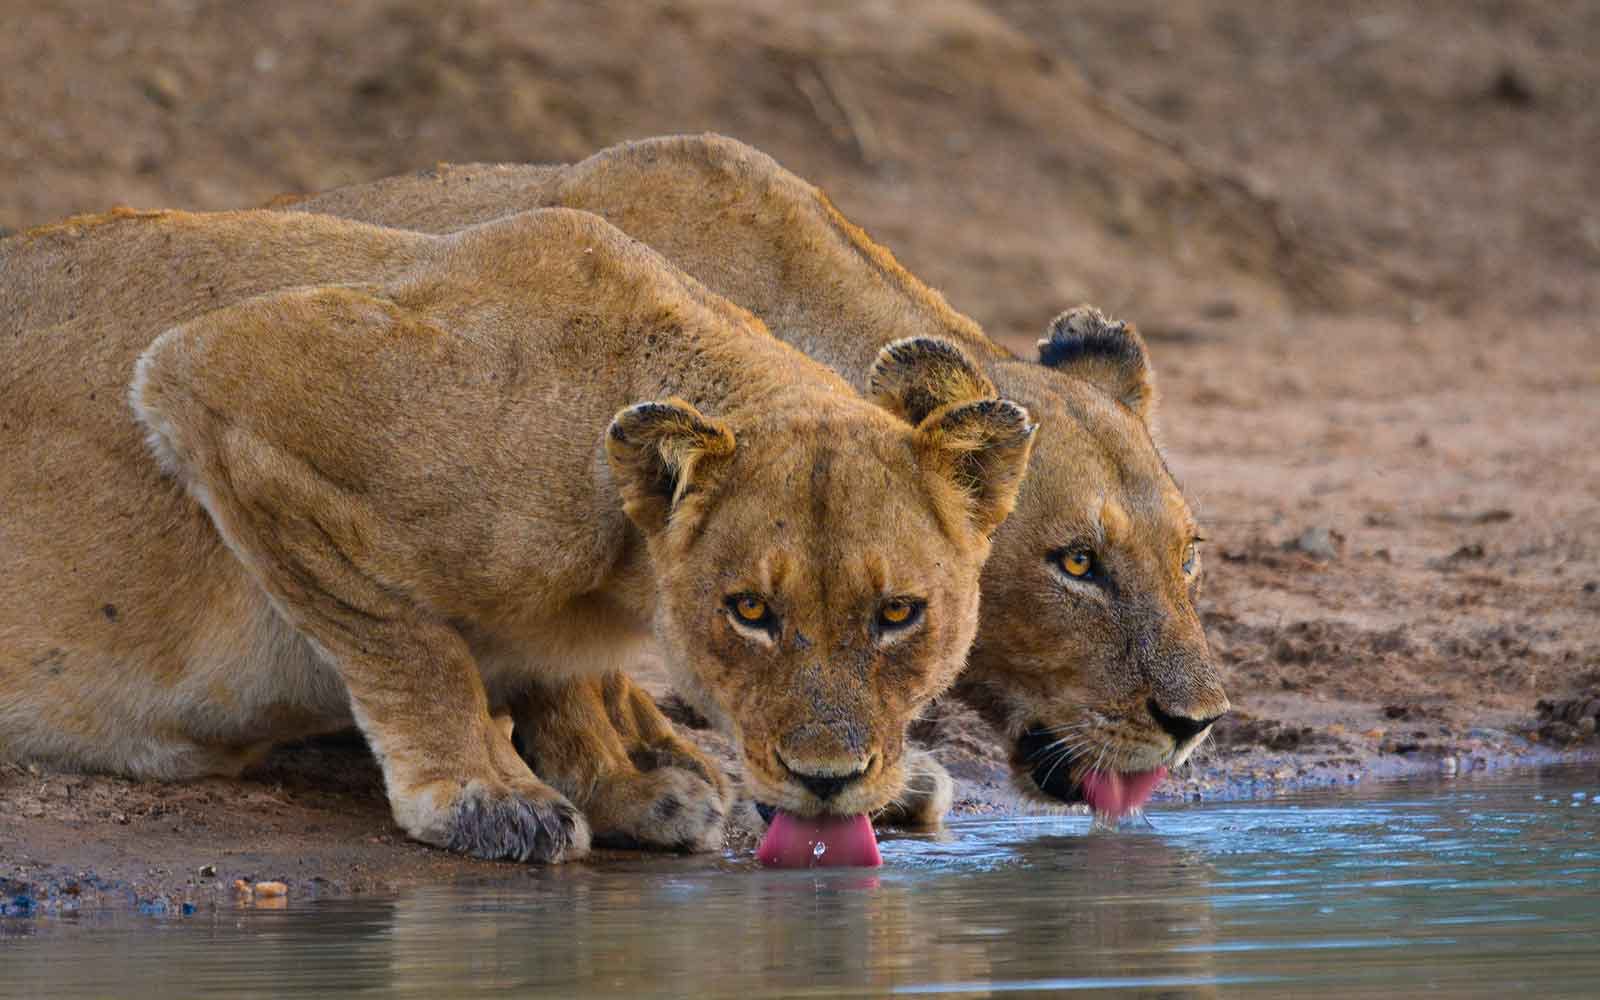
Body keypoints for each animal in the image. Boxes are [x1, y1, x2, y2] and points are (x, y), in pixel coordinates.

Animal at [0, 204, 1030, 857]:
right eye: (749, 612)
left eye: (898, 614)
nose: (827, 779)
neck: (620, 571)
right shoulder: (215, 376)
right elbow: (407, 641)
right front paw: (483, 796)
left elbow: (558, 676)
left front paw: (620, 784)